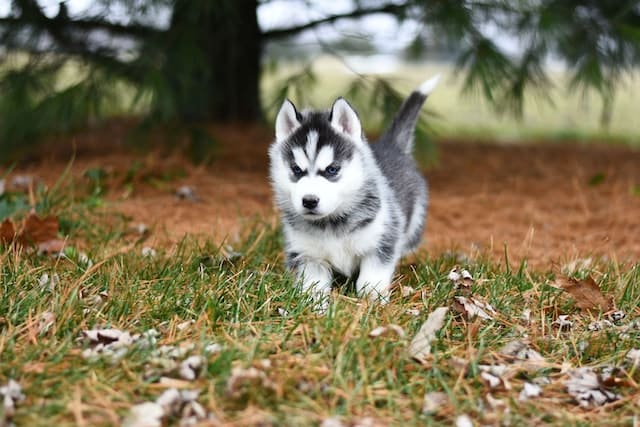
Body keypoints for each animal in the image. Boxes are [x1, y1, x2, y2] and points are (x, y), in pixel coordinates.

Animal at [268, 76, 440, 308]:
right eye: (296, 170)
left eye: (332, 169)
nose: (309, 201)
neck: (331, 224)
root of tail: (391, 146)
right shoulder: (308, 255)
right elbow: (313, 285)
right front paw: (315, 308)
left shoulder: (381, 242)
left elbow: (371, 279)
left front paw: (373, 303)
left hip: (414, 224)